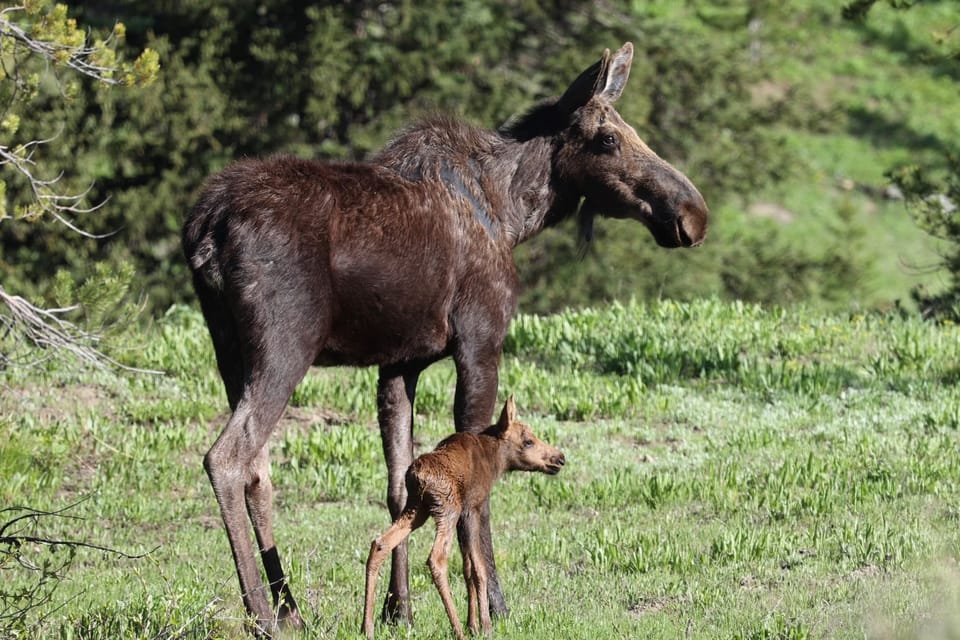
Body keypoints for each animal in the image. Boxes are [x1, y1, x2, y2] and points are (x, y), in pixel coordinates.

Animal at [366, 398, 564, 636]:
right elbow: (479, 569)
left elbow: (467, 567)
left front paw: (474, 625)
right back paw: (457, 630)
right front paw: (485, 626)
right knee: (436, 559)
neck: (495, 461)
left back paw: (367, 627)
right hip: (446, 509)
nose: (560, 458)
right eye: (528, 441)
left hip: (416, 509)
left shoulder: (463, 514)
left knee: (381, 543)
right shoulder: (471, 509)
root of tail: (417, 476)